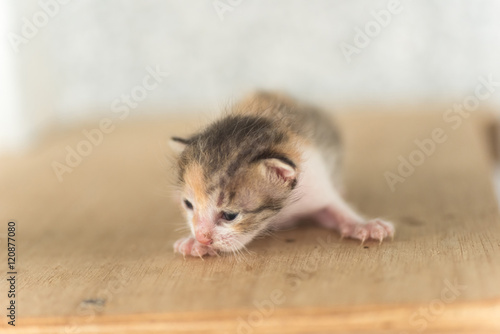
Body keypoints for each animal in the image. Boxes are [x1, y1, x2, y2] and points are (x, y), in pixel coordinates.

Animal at [171, 92, 394, 258]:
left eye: (230, 215)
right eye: (188, 205)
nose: (202, 237)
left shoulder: (315, 181)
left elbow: (337, 208)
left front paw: (364, 225)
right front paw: (193, 243)